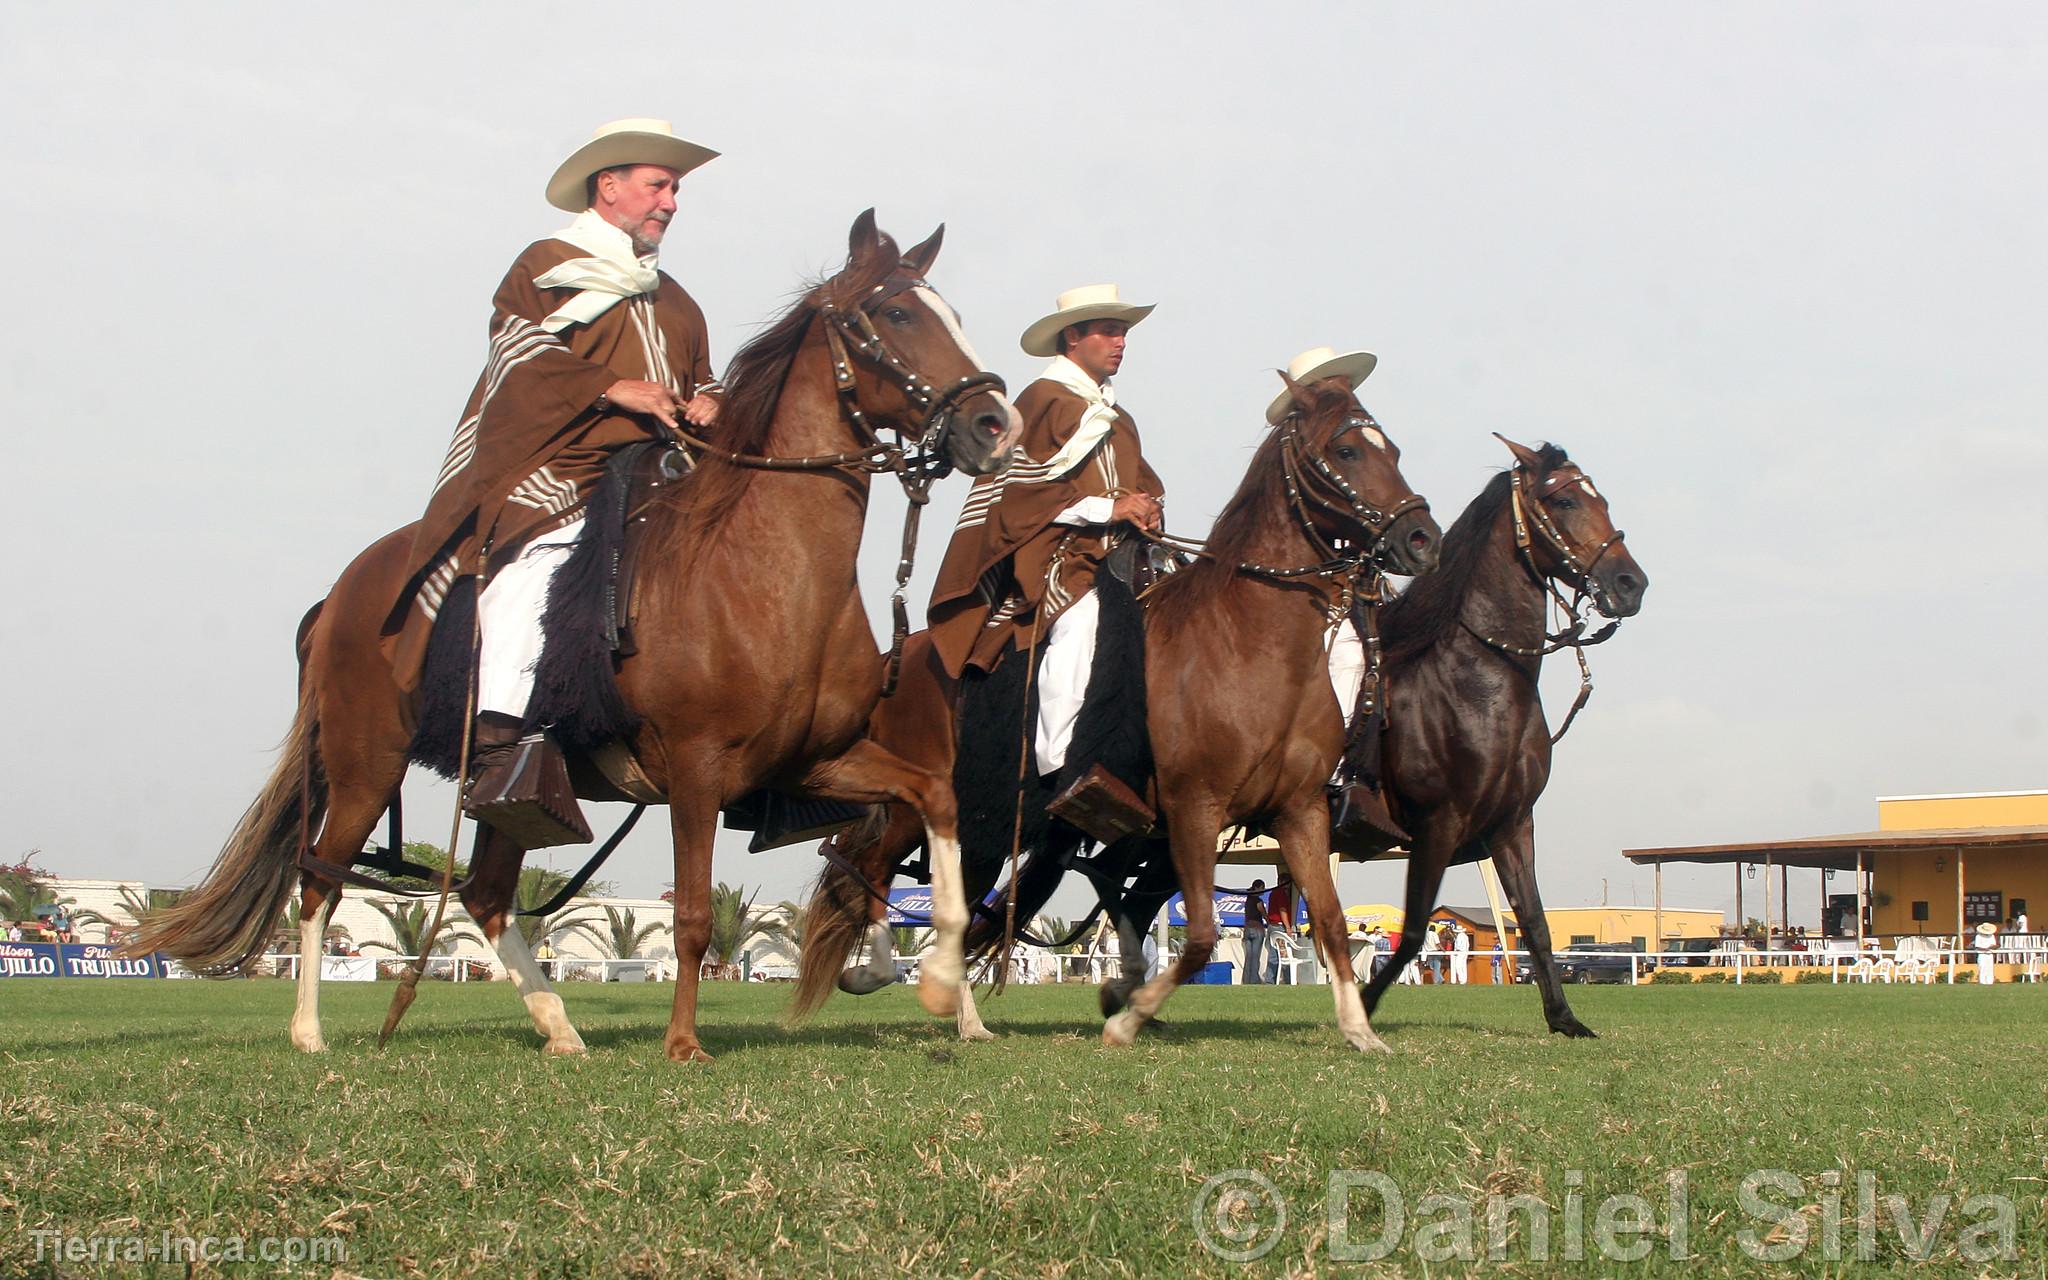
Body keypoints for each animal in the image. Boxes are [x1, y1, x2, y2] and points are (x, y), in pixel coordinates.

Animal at [130, 215, 1024, 1064]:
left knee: (485, 895)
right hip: (364, 765)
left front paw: (940, 981)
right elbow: (694, 916)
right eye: (897, 312)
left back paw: (559, 1028)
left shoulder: (815, 762)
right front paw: (683, 1043)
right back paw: (310, 1032)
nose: (995, 422)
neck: (763, 572)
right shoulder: (697, 771)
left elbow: (932, 803)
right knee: (319, 883)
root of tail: (343, 594)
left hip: (511, 794)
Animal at [794, 372, 1441, 1048]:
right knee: (871, 869)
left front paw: (1361, 1032)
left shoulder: (1299, 811)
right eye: (1347, 451)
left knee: (952, 899)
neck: (1250, 644)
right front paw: (1128, 1018)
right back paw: (885, 976)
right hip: (922, 806)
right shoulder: (1194, 808)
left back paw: (963, 1013)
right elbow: (1201, 934)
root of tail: (901, 660)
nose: (1422, 538)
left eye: (1391, 448)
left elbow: (1332, 921)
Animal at [1359, 434, 1646, 1032]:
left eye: (1601, 498)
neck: (1478, 683)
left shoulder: (1513, 825)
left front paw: (1564, 1018)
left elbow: (1535, 921)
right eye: (1564, 501)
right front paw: (1363, 1006)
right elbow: (1414, 931)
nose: (1631, 583)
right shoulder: (1438, 825)